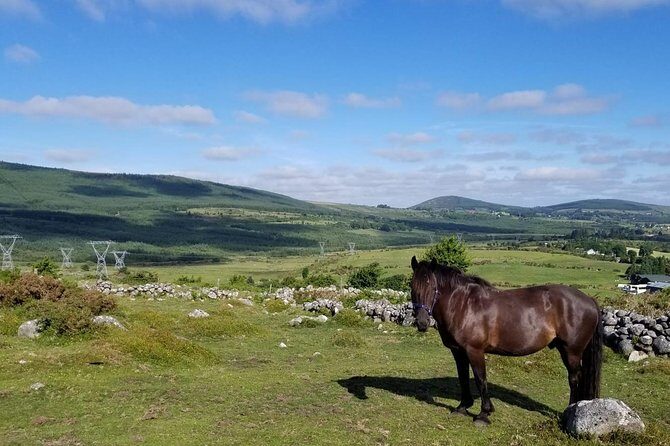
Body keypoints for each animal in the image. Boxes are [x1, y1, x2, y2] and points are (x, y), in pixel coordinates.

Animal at [410, 256, 602, 426]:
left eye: (431, 286)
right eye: (412, 286)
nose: (421, 322)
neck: (464, 305)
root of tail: (590, 300)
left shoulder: (474, 350)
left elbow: (481, 379)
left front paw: (484, 414)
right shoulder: (458, 351)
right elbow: (463, 377)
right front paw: (463, 407)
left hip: (572, 351)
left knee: (574, 378)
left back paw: (569, 410)